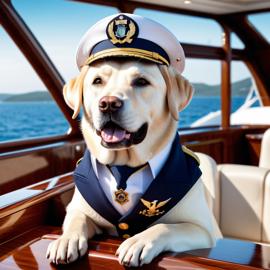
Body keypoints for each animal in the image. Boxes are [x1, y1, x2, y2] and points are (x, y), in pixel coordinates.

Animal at [45, 12, 220, 266]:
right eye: (97, 81)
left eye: (141, 81)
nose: (108, 103)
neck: (124, 165)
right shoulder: (78, 208)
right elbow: (77, 219)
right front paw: (65, 240)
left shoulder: (203, 230)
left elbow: (165, 227)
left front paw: (139, 241)